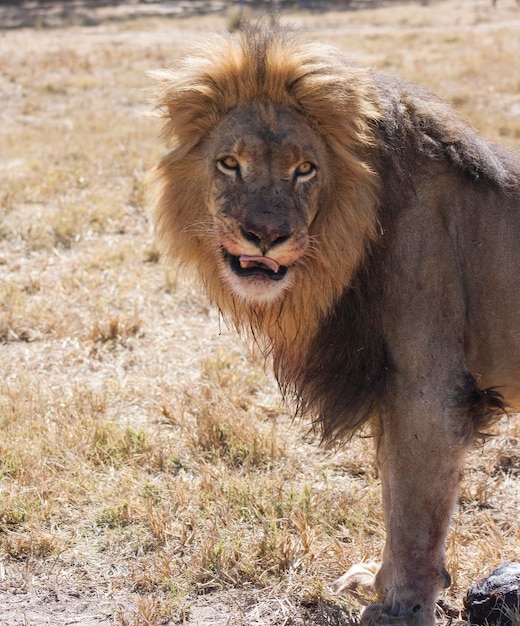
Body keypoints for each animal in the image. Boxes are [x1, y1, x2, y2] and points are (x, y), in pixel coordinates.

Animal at [147, 25, 520, 624]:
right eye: (230, 164)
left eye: (305, 170)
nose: (265, 236)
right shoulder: (393, 388)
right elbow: (393, 493)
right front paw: (379, 582)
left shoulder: (428, 389)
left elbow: (415, 512)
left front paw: (402, 609)